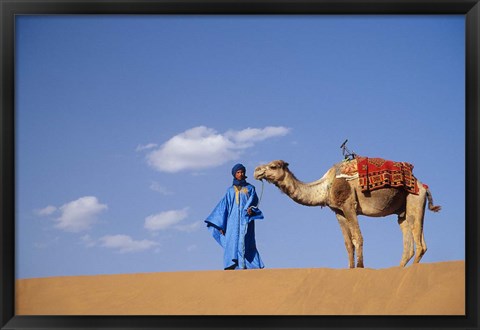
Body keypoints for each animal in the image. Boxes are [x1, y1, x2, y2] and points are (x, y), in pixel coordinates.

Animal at [253, 158, 440, 268]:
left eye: (273, 166)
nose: (256, 170)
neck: (325, 186)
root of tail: (423, 186)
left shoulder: (349, 205)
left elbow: (358, 238)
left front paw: (360, 268)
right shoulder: (338, 211)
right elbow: (348, 244)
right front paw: (350, 268)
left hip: (414, 199)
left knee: (419, 243)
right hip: (403, 211)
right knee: (410, 241)